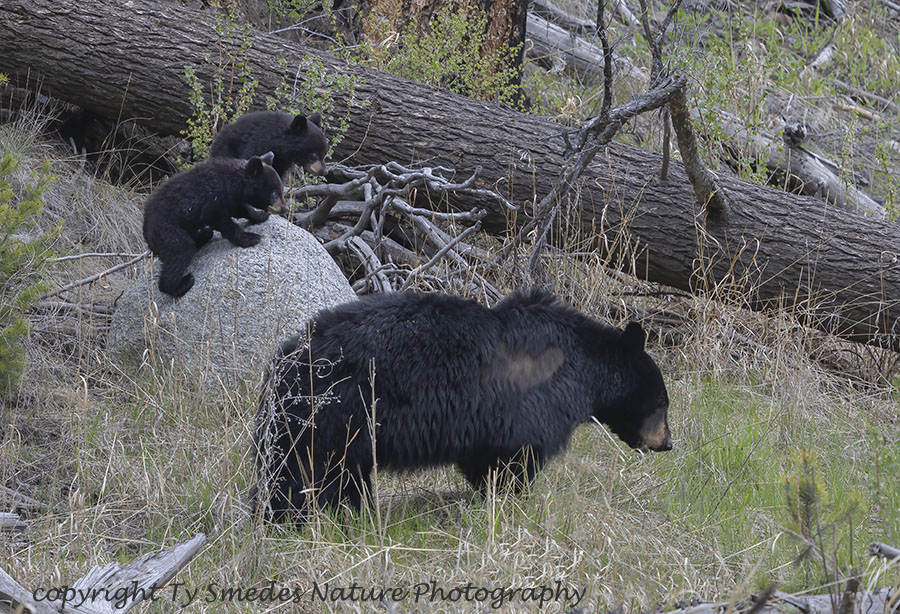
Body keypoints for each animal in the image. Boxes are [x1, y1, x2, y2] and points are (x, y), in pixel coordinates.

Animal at [142, 152, 284, 297]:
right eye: (274, 192)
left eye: (281, 190)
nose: (283, 208)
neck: (232, 182)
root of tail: (146, 234)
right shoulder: (211, 200)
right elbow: (222, 221)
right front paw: (250, 237)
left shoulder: (231, 200)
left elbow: (241, 209)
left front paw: (260, 215)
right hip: (167, 231)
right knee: (180, 250)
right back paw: (183, 283)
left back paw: (203, 234)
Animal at [253, 289, 672, 521]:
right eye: (662, 403)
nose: (668, 442)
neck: (580, 364)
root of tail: (287, 358)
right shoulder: (529, 408)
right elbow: (516, 458)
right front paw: (511, 499)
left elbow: (483, 460)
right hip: (337, 412)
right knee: (305, 472)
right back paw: (288, 517)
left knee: (337, 473)